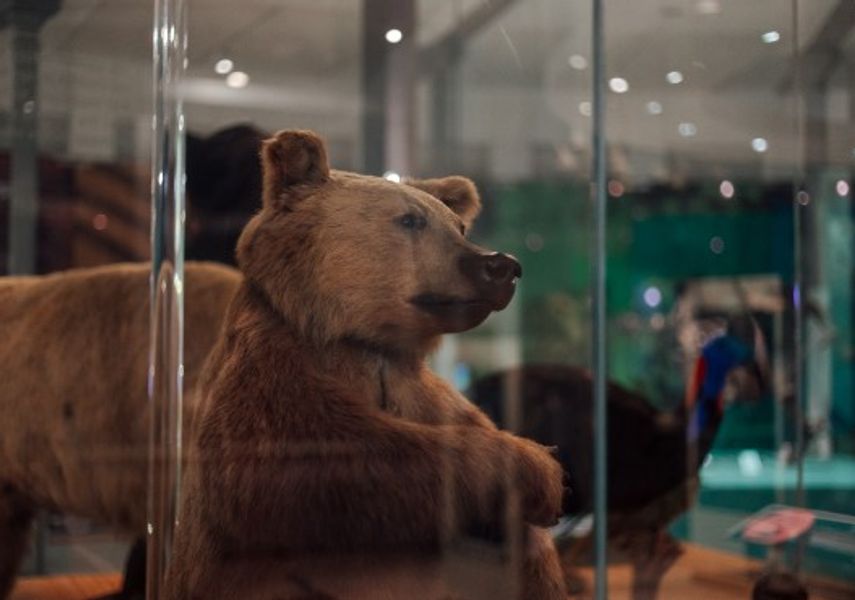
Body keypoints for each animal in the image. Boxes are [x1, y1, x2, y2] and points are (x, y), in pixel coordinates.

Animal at [165, 131, 568, 600]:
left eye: (460, 225)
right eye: (410, 220)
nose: (502, 265)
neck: (366, 344)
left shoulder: (421, 393)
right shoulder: (274, 380)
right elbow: (331, 457)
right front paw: (537, 469)